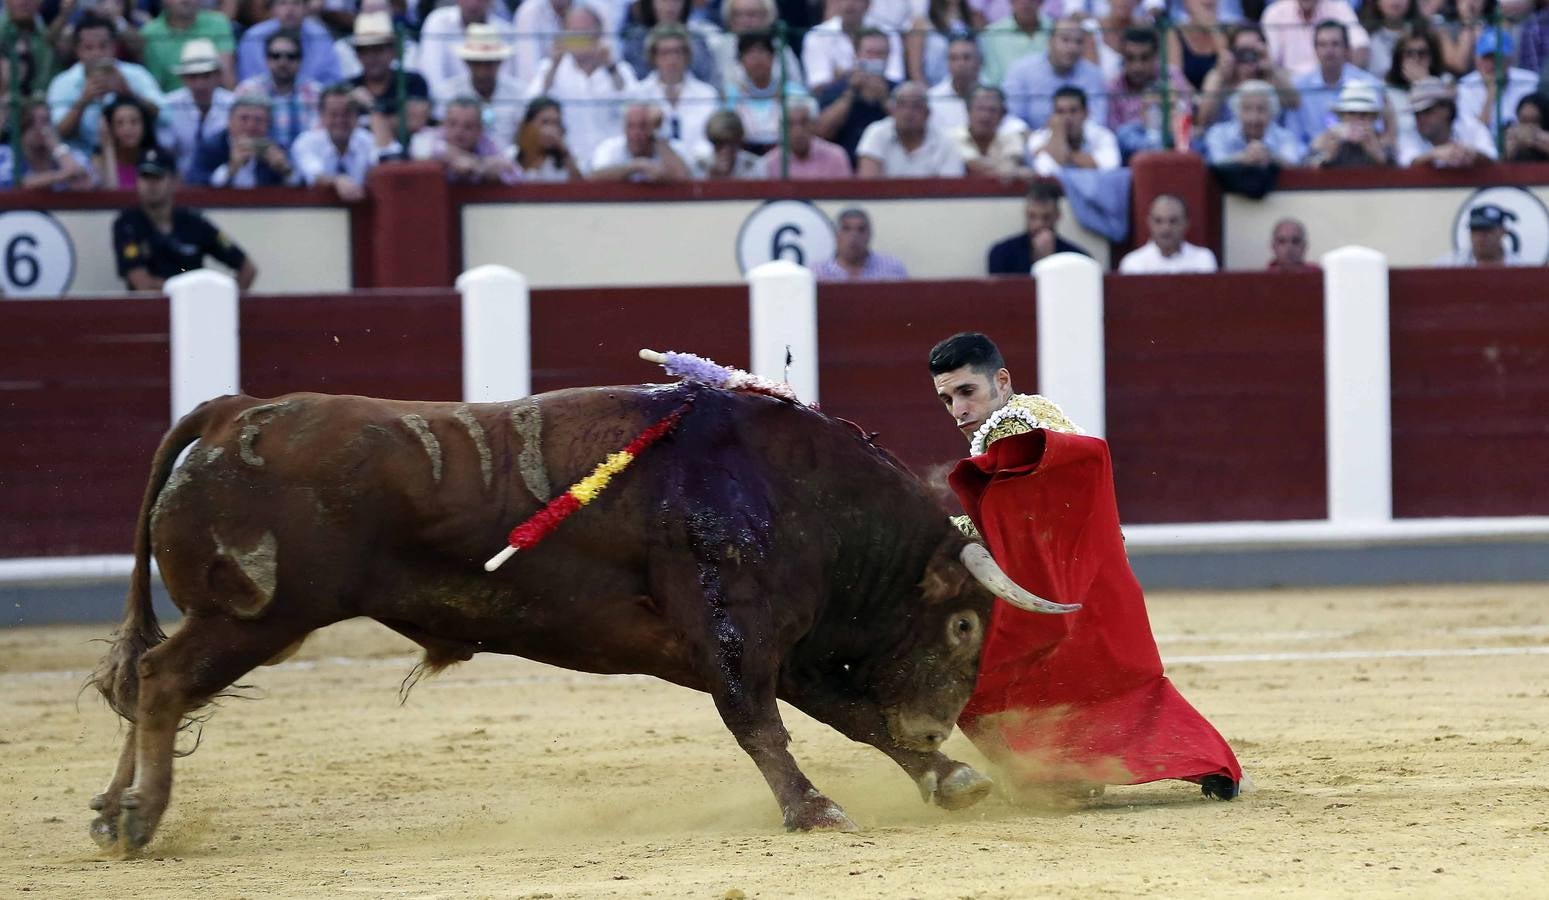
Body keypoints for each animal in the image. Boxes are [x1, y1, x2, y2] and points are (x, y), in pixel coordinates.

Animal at [87, 382, 1078, 855]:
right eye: (963, 628)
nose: (936, 723)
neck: (796, 491)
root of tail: (233, 412)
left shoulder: (754, 643)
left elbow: (847, 715)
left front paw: (947, 776)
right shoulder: (734, 630)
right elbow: (762, 723)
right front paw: (815, 810)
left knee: (141, 685)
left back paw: (110, 813)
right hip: (250, 617)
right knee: (162, 680)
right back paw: (139, 820)